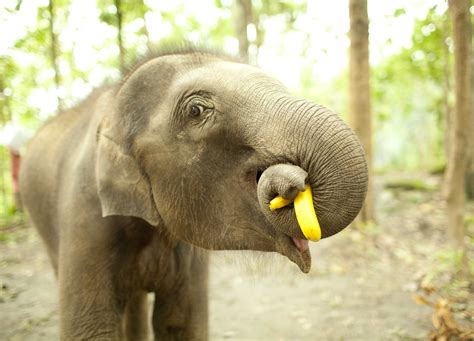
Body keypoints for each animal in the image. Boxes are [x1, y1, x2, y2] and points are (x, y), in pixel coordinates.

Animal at [20, 48, 368, 340]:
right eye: (197, 110)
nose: (293, 182)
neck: (114, 105)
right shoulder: (85, 218)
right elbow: (91, 330)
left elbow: (181, 325)